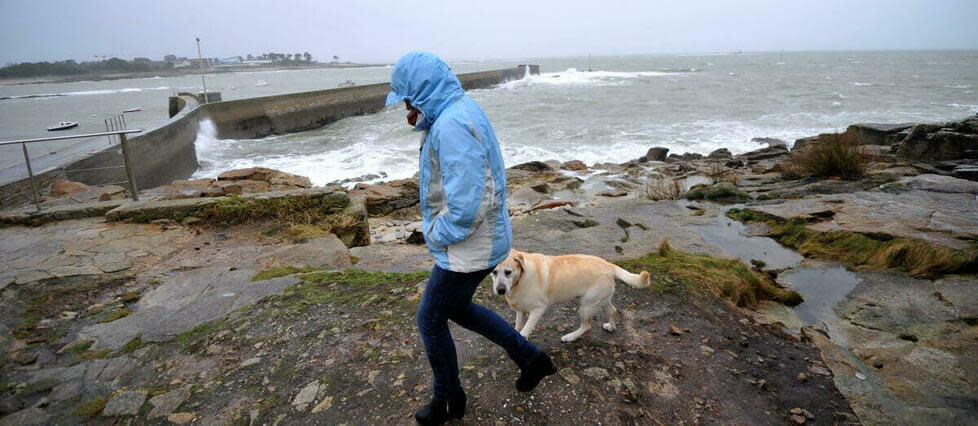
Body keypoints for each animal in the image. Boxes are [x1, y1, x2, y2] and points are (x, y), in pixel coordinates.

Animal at [488, 250, 648, 342]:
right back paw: (611, 326)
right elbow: (517, 326)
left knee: (587, 326)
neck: (519, 279)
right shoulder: (520, 310)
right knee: (613, 310)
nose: (500, 290)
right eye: (494, 272)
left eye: (508, 272)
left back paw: (570, 337)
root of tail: (609, 265)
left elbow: (525, 330)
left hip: (586, 306)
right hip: (599, 300)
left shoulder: (537, 310)